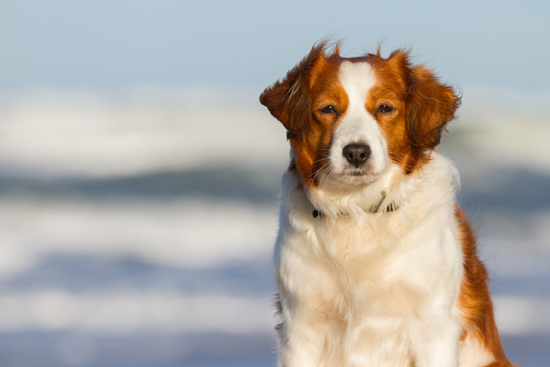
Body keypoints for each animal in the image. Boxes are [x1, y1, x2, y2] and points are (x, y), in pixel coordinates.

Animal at [260, 43, 516, 367]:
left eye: (384, 108)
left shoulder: (434, 329)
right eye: (328, 108)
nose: (356, 152)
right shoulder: (302, 327)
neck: (360, 211)